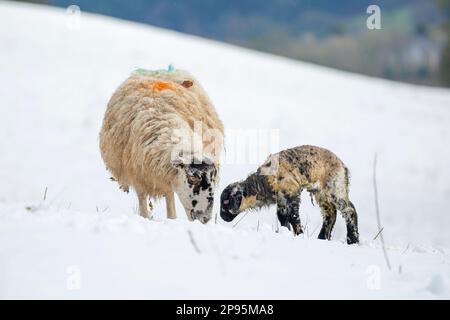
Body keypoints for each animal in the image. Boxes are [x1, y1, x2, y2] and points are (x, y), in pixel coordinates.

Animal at [100, 67, 223, 222]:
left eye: (214, 180)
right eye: (192, 179)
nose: (205, 219)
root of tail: (159, 71)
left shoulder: (167, 178)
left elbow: (170, 203)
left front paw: (172, 220)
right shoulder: (139, 177)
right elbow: (144, 205)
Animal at [220, 145, 360, 245]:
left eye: (226, 203)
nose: (222, 217)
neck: (264, 182)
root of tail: (343, 166)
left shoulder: (292, 192)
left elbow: (293, 216)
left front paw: (299, 234)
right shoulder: (281, 199)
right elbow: (282, 216)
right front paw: (284, 231)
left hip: (335, 187)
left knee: (349, 211)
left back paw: (352, 240)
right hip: (320, 193)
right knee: (330, 214)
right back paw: (322, 238)